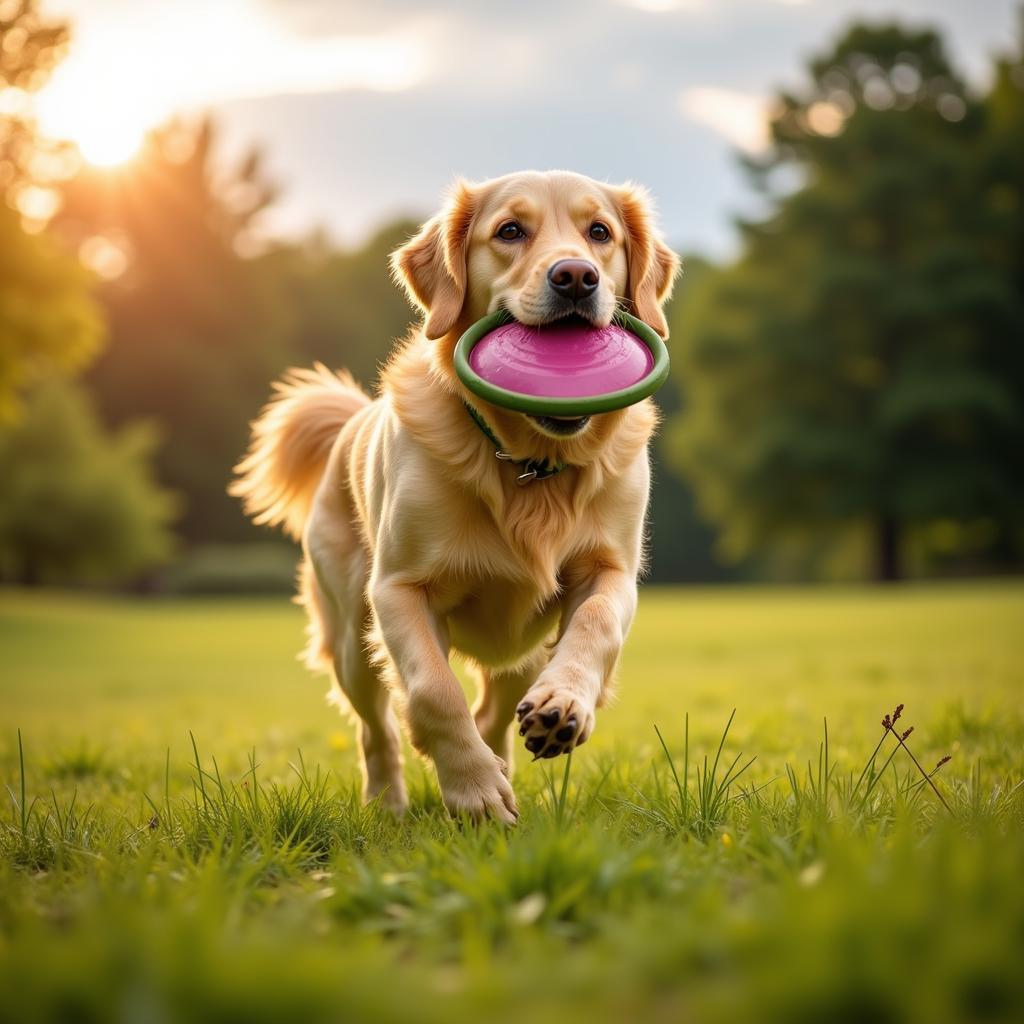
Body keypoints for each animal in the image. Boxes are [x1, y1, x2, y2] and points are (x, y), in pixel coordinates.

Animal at [232, 169, 679, 823]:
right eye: (510, 231)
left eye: (600, 233)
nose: (576, 276)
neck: (531, 465)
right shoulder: (399, 589)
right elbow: (432, 690)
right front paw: (474, 791)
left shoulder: (612, 569)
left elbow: (596, 625)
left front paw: (564, 705)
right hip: (351, 637)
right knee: (377, 729)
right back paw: (389, 804)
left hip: (520, 647)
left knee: (495, 708)